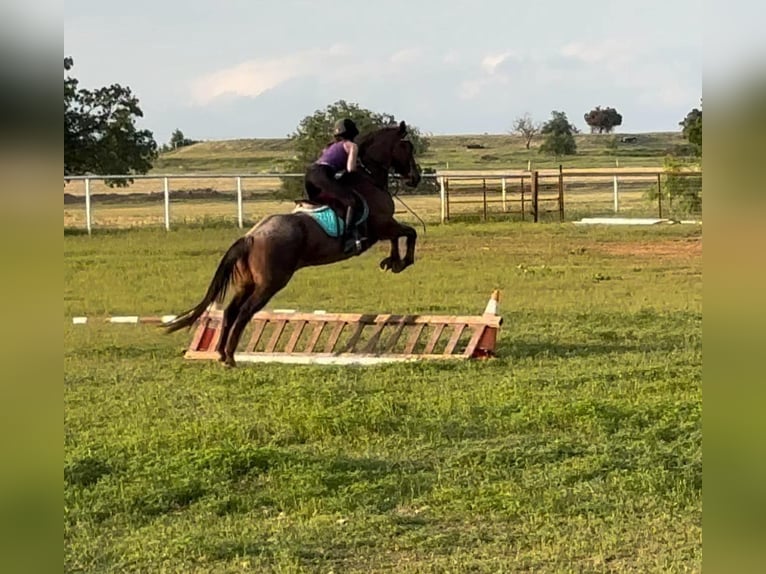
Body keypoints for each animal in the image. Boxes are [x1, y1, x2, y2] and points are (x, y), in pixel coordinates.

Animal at [164, 120, 424, 368]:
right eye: (407, 147)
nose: (415, 178)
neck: (369, 179)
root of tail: (251, 237)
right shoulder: (382, 225)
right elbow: (409, 233)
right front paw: (402, 262)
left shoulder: (385, 227)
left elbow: (399, 237)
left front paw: (392, 261)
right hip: (270, 283)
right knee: (245, 312)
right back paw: (229, 357)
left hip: (247, 282)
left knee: (230, 311)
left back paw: (219, 353)